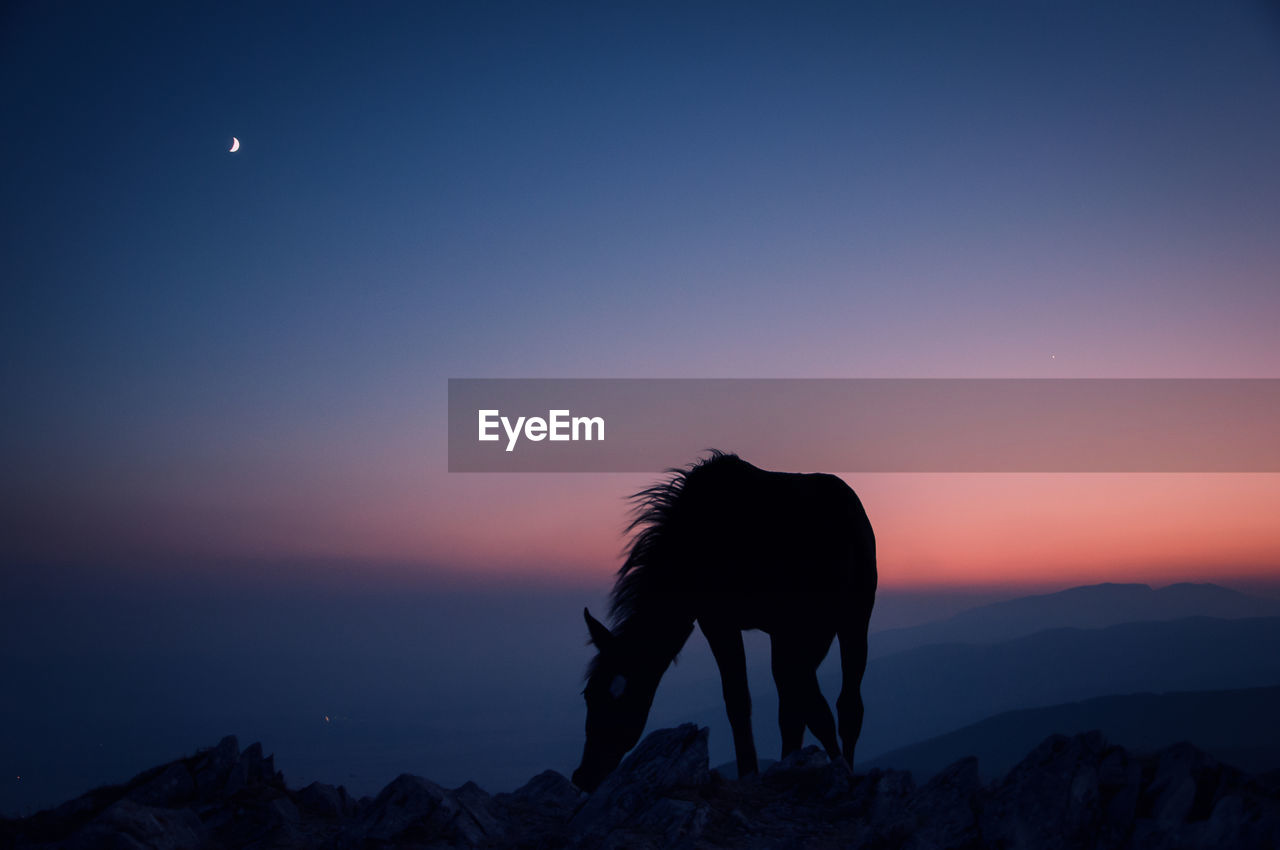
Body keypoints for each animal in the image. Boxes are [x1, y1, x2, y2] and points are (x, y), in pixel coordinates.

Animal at [576, 450, 875, 788]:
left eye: (619, 699)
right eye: (588, 694)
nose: (583, 775)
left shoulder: (718, 622)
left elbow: (738, 701)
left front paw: (750, 773)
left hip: (835, 622)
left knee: (831, 705)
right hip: (820, 628)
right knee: (816, 703)